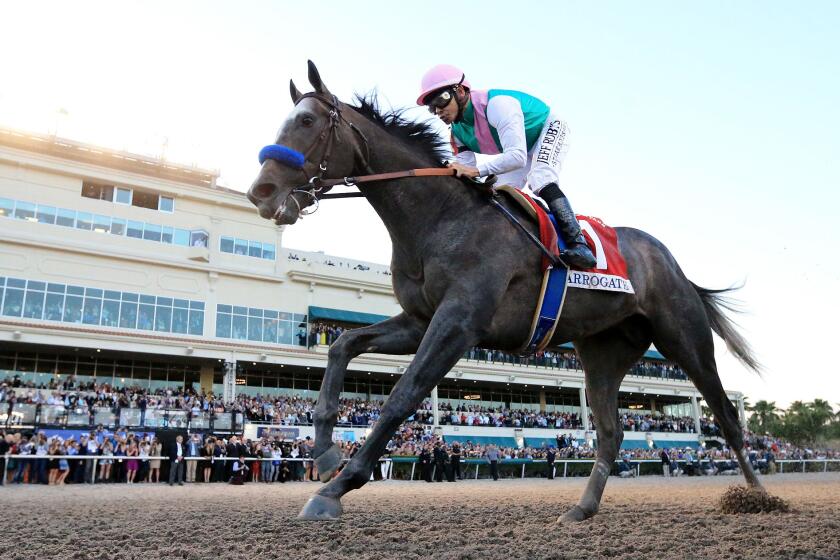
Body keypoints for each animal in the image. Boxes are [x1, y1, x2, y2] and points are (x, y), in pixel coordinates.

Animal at [246, 63, 764, 524]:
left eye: (307, 122)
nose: (261, 192)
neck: (441, 219)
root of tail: (669, 261)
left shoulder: (459, 323)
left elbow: (403, 394)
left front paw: (336, 487)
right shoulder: (419, 320)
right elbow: (343, 345)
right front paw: (325, 454)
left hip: (684, 339)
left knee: (726, 415)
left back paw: (758, 498)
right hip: (603, 351)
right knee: (611, 432)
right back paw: (582, 509)